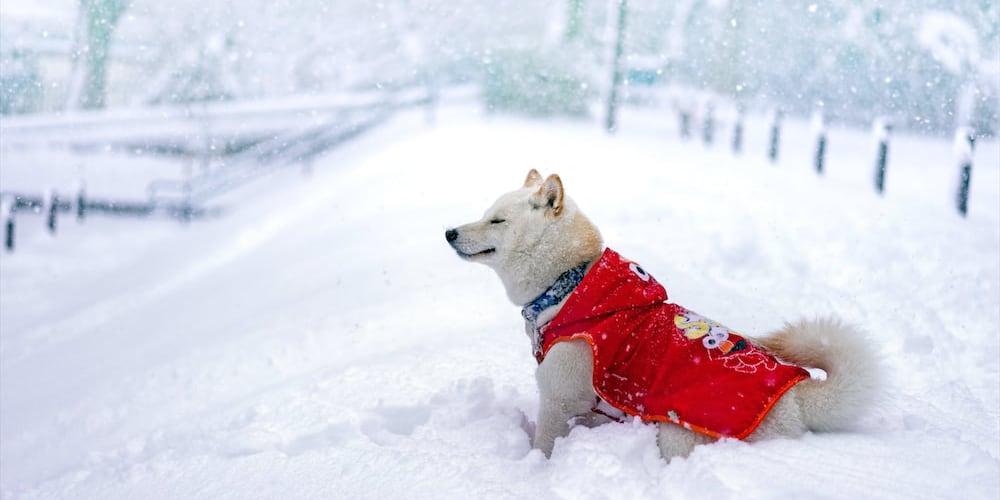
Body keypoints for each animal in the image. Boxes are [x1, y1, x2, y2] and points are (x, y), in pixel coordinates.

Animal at [444, 170, 876, 458]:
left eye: (497, 220)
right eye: (485, 213)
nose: (449, 232)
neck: (568, 285)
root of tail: (796, 403)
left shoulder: (559, 398)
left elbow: (544, 444)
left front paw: (534, 466)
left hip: (677, 432)